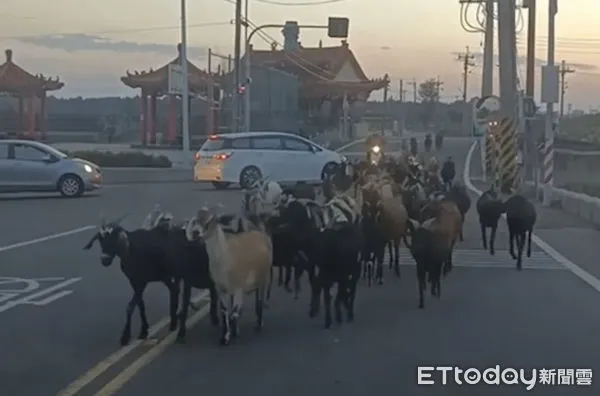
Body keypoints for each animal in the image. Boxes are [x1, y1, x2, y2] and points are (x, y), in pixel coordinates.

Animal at [185, 209, 274, 344]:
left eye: (211, 220)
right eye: (196, 220)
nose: (196, 232)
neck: (225, 256)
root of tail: (259, 232)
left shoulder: (238, 288)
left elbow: (235, 312)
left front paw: (230, 335)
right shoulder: (220, 289)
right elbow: (225, 310)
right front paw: (226, 335)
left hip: (263, 277)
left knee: (259, 300)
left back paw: (259, 323)